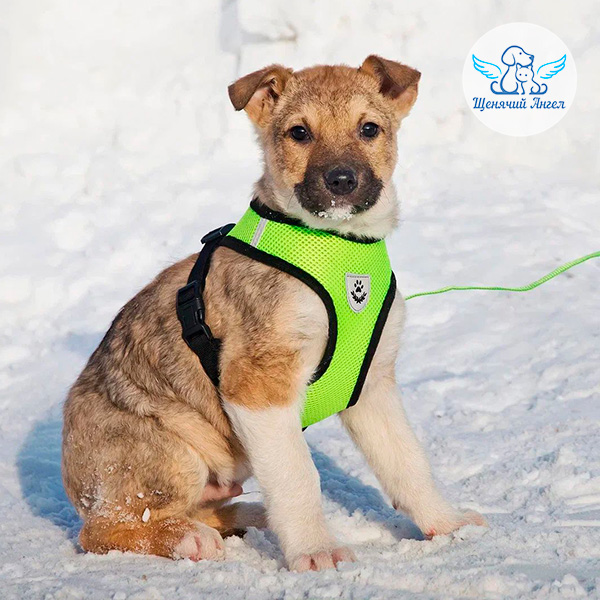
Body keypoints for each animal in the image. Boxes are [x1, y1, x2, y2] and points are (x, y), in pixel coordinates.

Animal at [62, 56, 486, 572]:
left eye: (369, 128)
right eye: (299, 133)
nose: (341, 181)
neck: (338, 248)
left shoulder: (373, 385)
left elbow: (408, 462)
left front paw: (447, 524)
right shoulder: (259, 383)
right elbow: (299, 475)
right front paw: (316, 551)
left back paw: (248, 514)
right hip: (166, 451)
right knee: (106, 528)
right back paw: (189, 539)